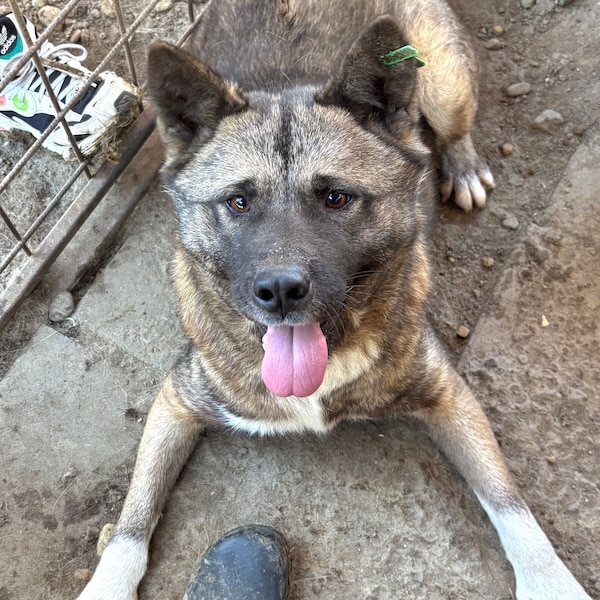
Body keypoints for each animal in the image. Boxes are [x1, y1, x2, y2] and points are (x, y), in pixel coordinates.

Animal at [77, 1, 591, 598]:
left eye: (336, 198)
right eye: (237, 202)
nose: (280, 291)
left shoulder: (448, 394)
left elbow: (510, 503)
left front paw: (550, 580)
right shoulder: (176, 403)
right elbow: (132, 521)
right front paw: (107, 583)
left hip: (443, 84)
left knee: (450, 129)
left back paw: (461, 166)